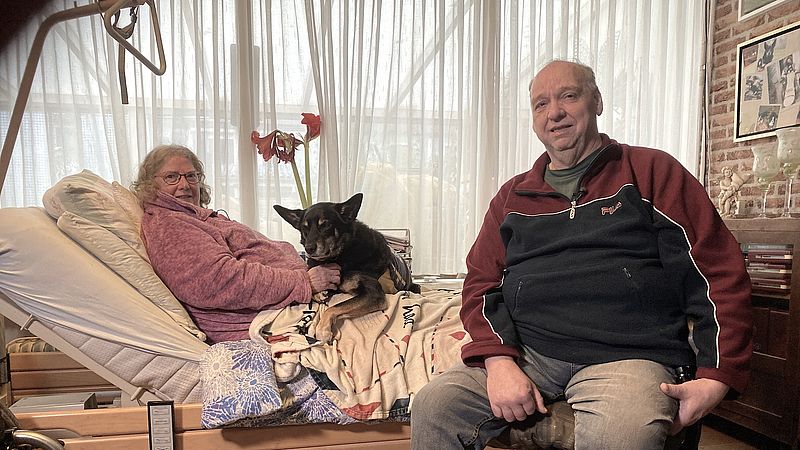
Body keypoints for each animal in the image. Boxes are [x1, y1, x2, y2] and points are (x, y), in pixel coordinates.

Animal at [276, 192, 418, 342]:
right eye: (305, 228)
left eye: (326, 225)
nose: (309, 249)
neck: (341, 254)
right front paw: (319, 292)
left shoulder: (373, 294)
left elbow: (333, 308)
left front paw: (323, 330)